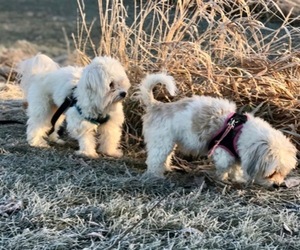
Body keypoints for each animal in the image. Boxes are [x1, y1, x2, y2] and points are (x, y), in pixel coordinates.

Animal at [137, 72, 298, 186]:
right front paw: (223, 179)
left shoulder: (235, 153)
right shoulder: (224, 152)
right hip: (161, 142)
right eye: (272, 173)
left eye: (283, 173)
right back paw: (156, 176)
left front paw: (237, 179)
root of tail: (156, 106)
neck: (239, 132)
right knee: (154, 160)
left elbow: (235, 168)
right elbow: (224, 168)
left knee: (164, 158)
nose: (277, 185)